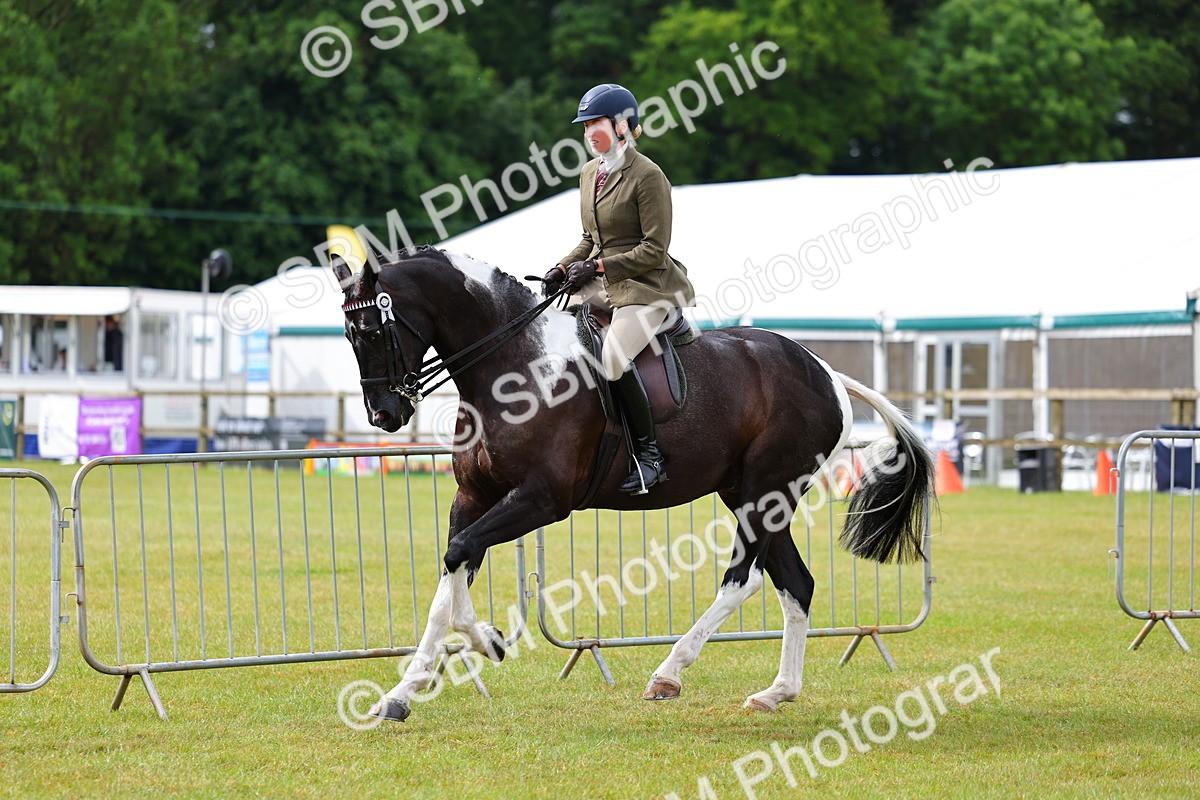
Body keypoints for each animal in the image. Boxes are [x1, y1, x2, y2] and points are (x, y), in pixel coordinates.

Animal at [332, 247, 933, 722]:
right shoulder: (473, 498)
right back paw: (776, 692)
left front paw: (491, 641)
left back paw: (669, 673)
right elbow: (449, 578)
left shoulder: (540, 500)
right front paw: (402, 693)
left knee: (743, 579)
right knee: (795, 584)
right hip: (751, 495)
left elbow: (458, 560)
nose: (384, 414)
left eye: (373, 330)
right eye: (348, 335)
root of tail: (825, 371)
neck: (513, 366)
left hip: (766, 492)